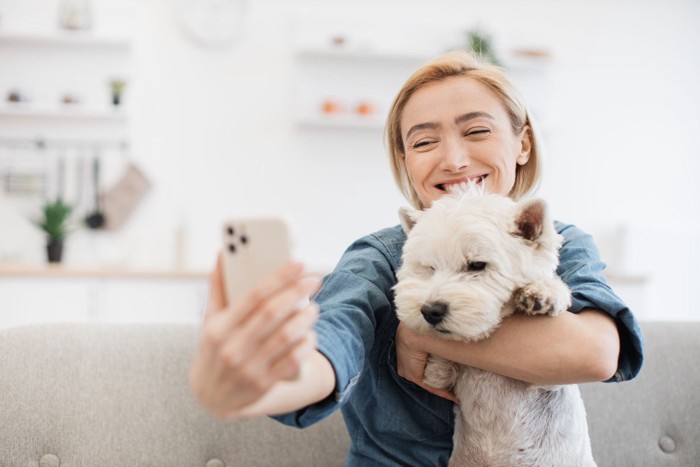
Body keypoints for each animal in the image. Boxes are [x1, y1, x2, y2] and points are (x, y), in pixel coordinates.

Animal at [394, 185, 596, 466]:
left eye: (477, 265)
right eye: (429, 267)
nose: (430, 311)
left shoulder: (550, 380)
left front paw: (543, 293)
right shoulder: (440, 380)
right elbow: (437, 372)